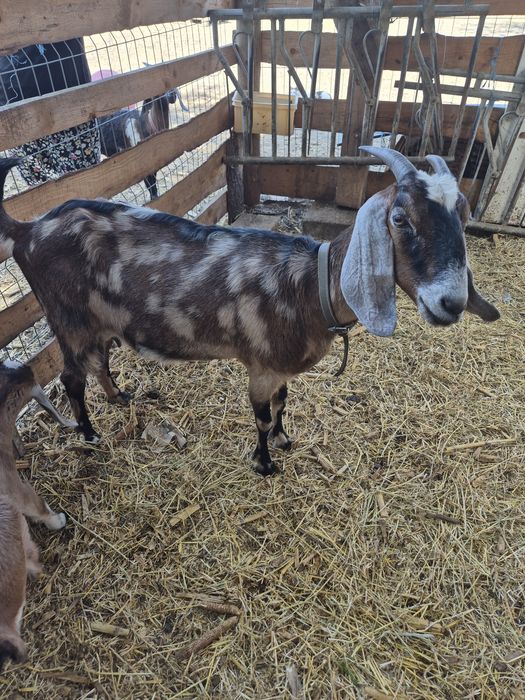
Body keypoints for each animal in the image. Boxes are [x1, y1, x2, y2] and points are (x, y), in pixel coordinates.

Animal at [0, 149, 500, 475]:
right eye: (399, 218)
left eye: (463, 214)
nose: (451, 303)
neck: (308, 288)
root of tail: (27, 230)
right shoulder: (260, 365)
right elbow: (261, 413)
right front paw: (264, 462)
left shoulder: (279, 368)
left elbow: (283, 402)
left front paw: (283, 438)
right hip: (67, 319)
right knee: (71, 378)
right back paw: (89, 435)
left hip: (97, 321)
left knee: (100, 360)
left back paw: (120, 397)